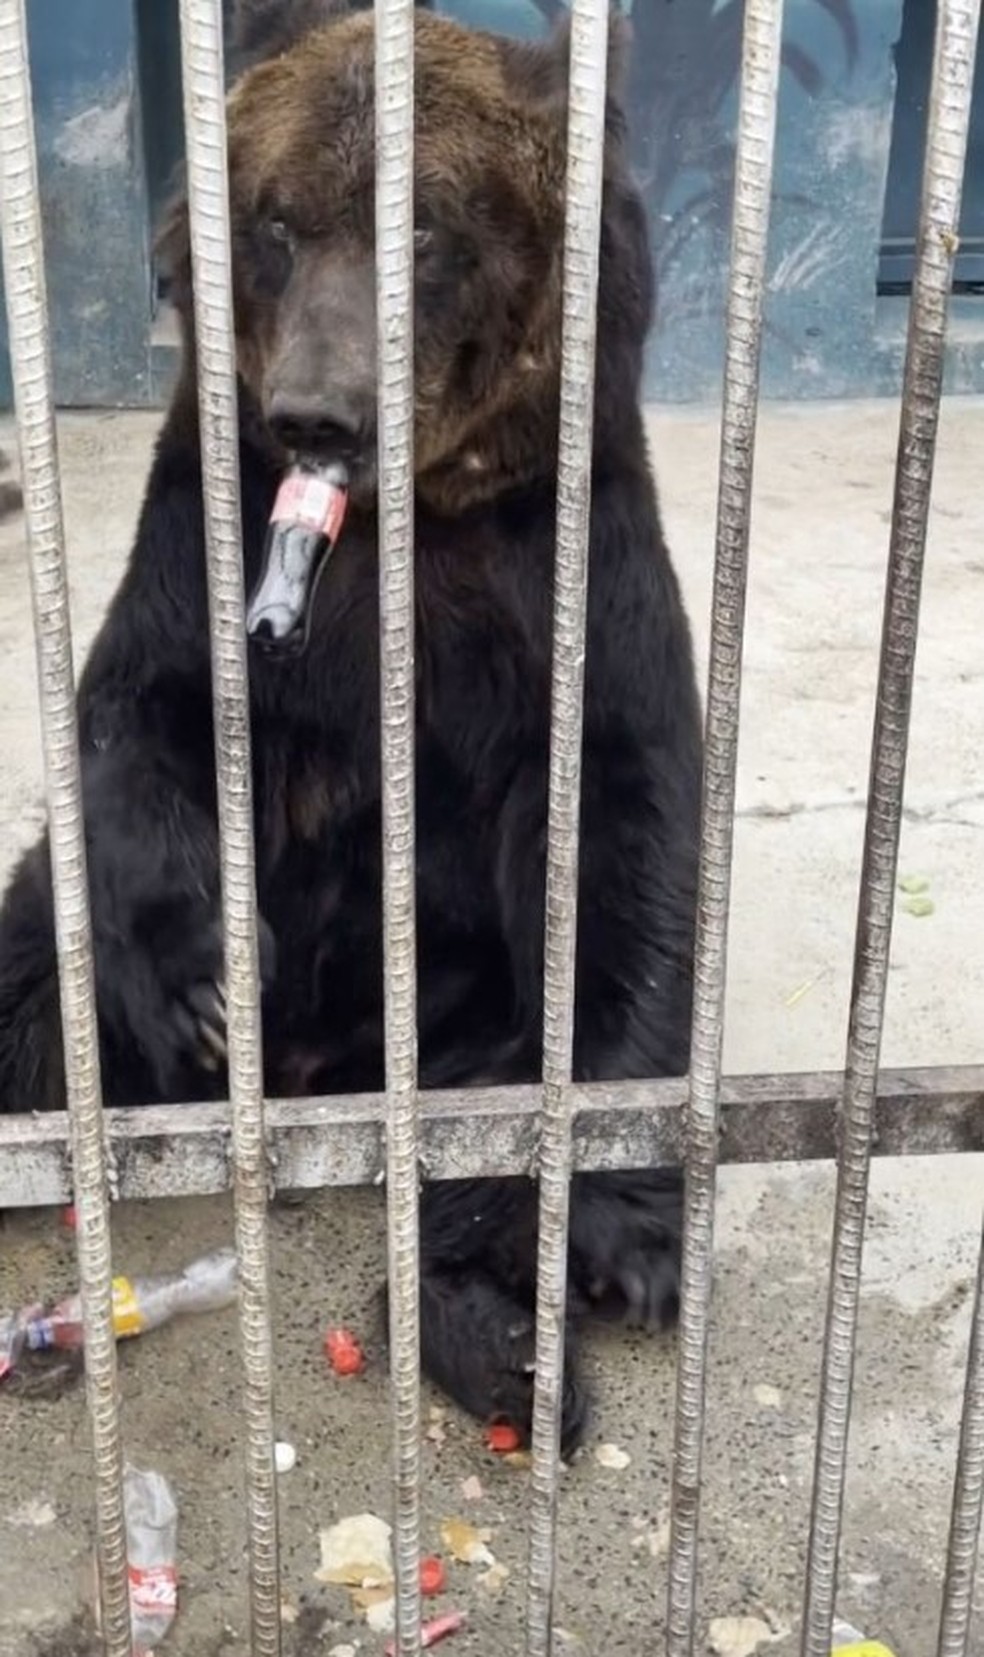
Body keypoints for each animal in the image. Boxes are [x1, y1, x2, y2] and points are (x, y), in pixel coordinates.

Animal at [0, 0, 703, 1450]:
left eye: (424, 227)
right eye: (274, 221)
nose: (317, 409)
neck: (403, 516)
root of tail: (326, 1081)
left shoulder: (558, 555)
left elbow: (624, 802)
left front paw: (622, 1233)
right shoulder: (208, 518)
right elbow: (145, 715)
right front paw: (216, 980)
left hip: (457, 1010)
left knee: (487, 1133)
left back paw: (509, 1338)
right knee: (29, 977)